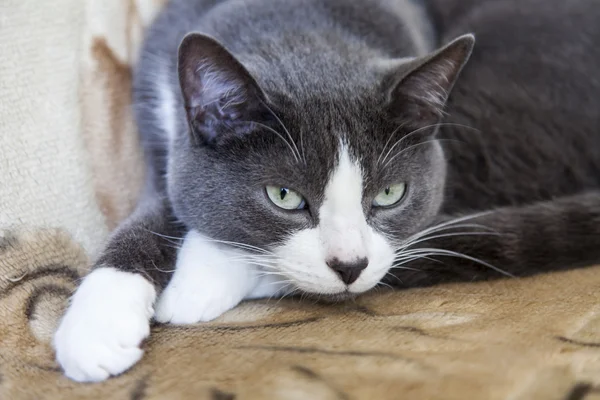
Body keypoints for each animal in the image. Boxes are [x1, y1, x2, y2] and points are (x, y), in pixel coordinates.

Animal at [54, 0, 600, 384]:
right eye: (284, 196)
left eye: (390, 193)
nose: (350, 266)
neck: (297, 27)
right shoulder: (159, 118)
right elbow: (155, 205)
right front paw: (97, 325)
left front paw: (197, 281)